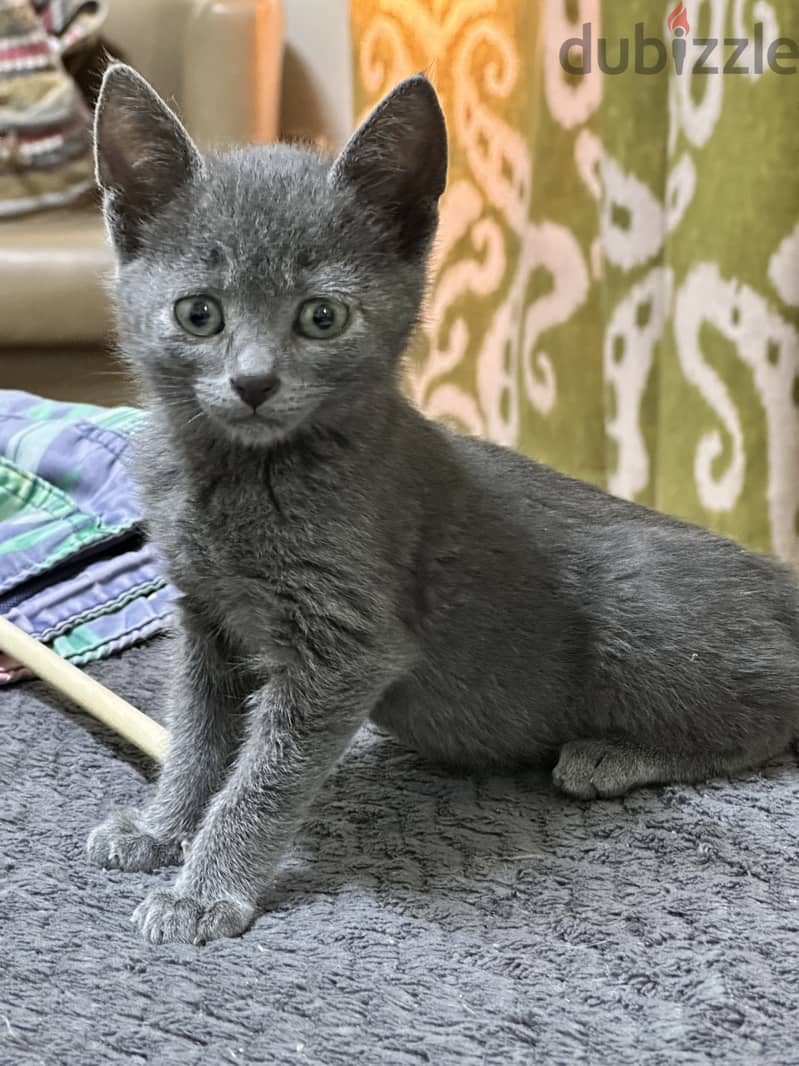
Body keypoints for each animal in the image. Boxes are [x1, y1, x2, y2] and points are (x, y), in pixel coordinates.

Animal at [87, 64, 799, 942]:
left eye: (321, 316)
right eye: (198, 313)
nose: (253, 382)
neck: (238, 475)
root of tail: (769, 571)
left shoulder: (343, 645)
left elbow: (264, 776)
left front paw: (204, 888)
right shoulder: (204, 618)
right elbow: (194, 735)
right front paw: (162, 828)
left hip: (639, 604)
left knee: (775, 708)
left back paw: (612, 754)